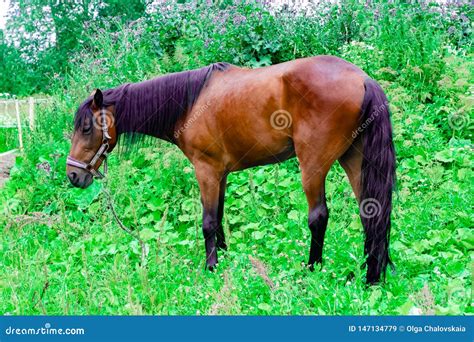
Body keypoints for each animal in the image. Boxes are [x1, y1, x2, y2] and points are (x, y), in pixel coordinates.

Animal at [65, 56, 394, 284]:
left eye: (85, 128)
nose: (73, 175)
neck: (190, 103)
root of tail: (363, 79)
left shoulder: (206, 171)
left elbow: (208, 221)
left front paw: (210, 267)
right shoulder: (220, 175)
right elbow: (220, 218)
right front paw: (224, 259)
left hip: (313, 165)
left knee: (319, 216)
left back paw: (313, 269)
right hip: (354, 160)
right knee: (370, 212)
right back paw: (369, 275)